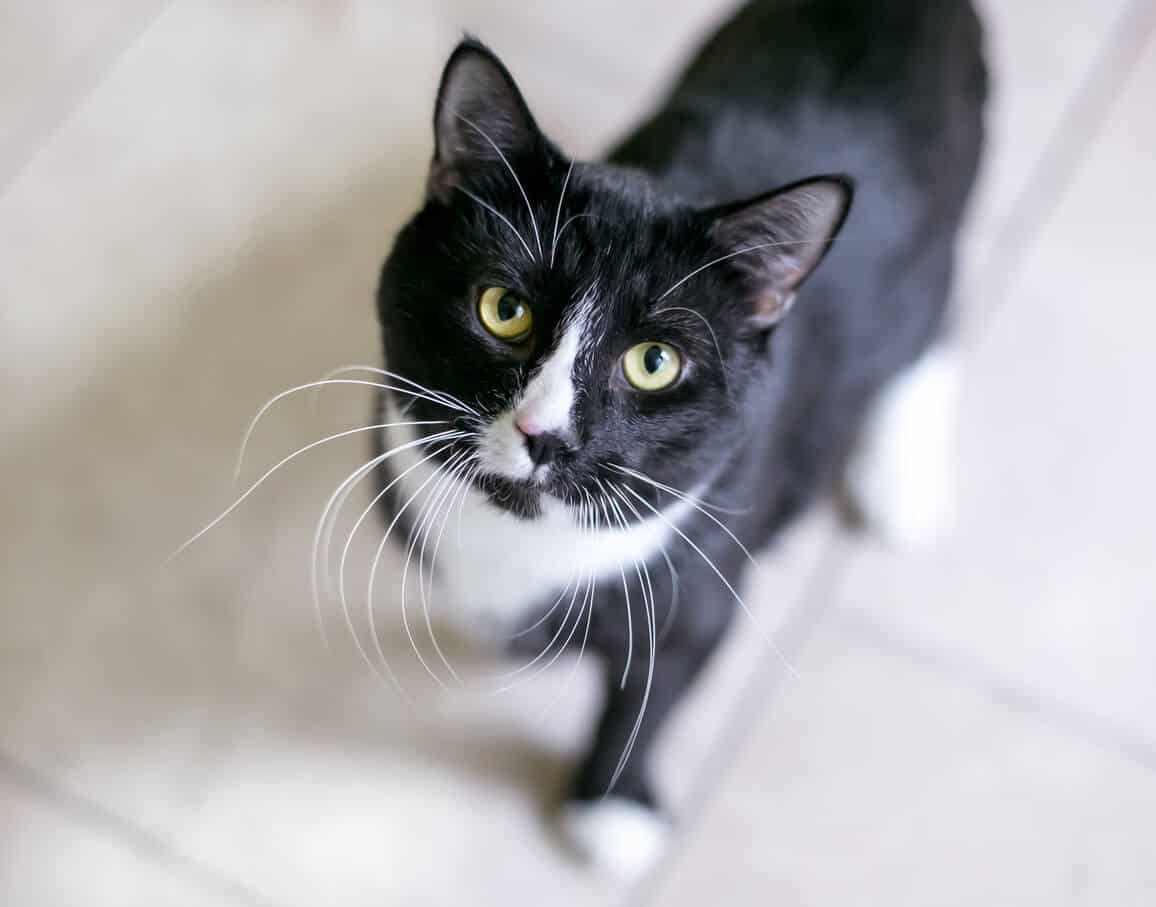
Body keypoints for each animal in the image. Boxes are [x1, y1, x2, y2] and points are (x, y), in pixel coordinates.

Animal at [369, 0, 984, 878]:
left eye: (654, 362)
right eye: (503, 309)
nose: (544, 433)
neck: (530, 540)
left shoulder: (701, 582)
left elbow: (654, 693)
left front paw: (611, 809)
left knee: (935, 313)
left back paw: (901, 481)